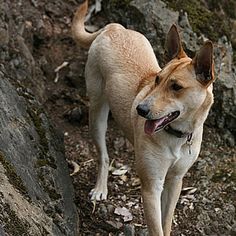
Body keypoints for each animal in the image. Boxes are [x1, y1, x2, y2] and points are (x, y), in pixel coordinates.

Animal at [71, 0, 215, 235]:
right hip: (97, 113)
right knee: (103, 156)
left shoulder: (175, 182)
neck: (176, 135)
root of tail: (115, 28)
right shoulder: (151, 187)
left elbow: (166, 222)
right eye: (157, 79)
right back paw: (100, 187)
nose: (140, 109)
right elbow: (157, 228)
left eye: (176, 87)